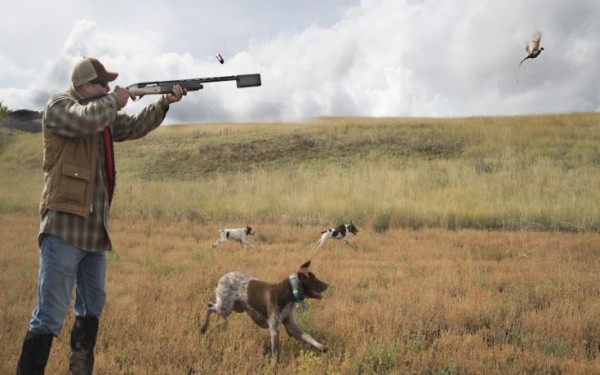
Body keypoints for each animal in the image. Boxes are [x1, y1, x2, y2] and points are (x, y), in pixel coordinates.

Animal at [199, 260, 328, 360]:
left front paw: (321, 347)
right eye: (313, 279)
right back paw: (203, 328)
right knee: (209, 307)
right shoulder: (274, 329)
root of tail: (221, 278)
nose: (327, 285)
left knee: (217, 311)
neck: (288, 292)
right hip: (225, 307)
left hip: (233, 307)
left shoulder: (291, 327)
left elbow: (309, 337)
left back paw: (222, 328)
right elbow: (276, 353)